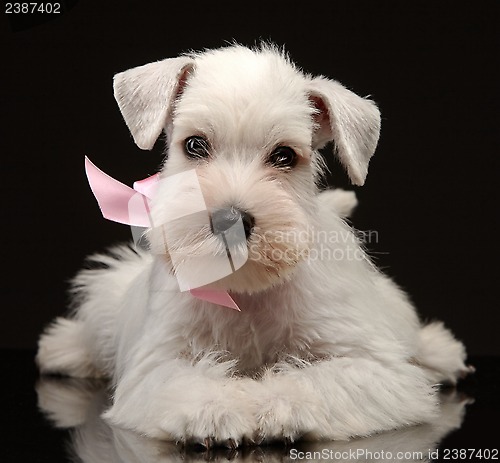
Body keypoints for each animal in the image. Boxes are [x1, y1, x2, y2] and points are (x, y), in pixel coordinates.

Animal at [37, 44, 470, 450]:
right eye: (194, 145)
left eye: (284, 155)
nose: (230, 220)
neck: (246, 294)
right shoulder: (157, 365)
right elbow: (184, 382)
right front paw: (217, 408)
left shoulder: (374, 367)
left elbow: (316, 381)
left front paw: (276, 405)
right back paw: (64, 348)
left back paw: (440, 352)